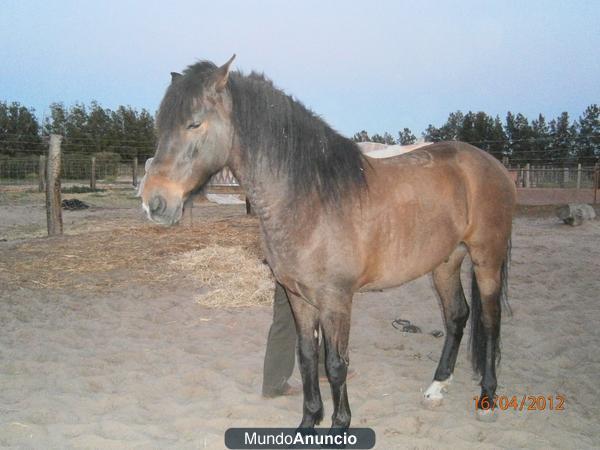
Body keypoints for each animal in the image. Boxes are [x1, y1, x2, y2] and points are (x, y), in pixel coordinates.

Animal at [141, 56, 516, 428]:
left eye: (194, 123)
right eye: (161, 126)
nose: (153, 201)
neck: (312, 198)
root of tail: (493, 165)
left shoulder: (337, 300)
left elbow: (336, 365)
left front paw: (339, 424)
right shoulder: (298, 296)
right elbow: (307, 356)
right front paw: (309, 422)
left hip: (486, 259)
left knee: (490, 321)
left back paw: (487, 398)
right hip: (445, 262)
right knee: (456, 316)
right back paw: (437, 387)